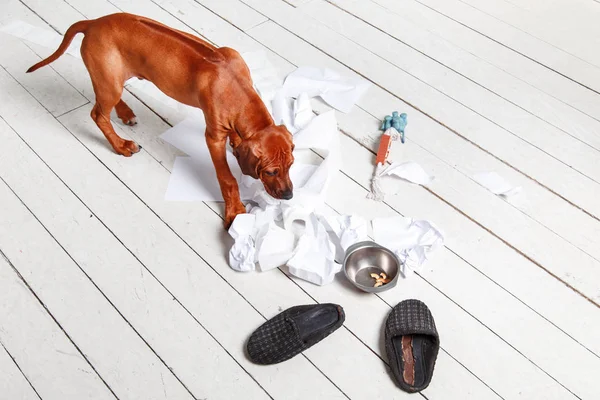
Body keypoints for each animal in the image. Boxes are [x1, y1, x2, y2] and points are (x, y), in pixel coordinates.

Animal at [28, 11, 296, 228]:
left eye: (291, 165)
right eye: (270, 172)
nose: (289, 196)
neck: (236, 86)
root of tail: (93, 23)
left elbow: (237, 137)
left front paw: (237, 143)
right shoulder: (212, 137)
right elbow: (227, 178)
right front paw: (235, 211)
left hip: (111, 78)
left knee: (107, 101)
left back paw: (125, 113)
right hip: (108, 81)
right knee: (98, 114)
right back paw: (121, 145)